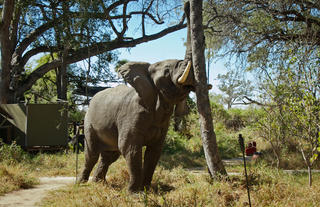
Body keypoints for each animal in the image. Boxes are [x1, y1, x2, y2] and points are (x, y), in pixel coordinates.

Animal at [78, 2, 194, 192]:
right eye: (167, 71)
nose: (186, 5)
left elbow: (154, 152)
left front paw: (147, 190)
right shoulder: (132, 116)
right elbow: (130, 149)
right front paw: (134, 193)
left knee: (109, 155)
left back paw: (98, 183)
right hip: (88, 122)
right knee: (92, 153)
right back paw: (81, 183)